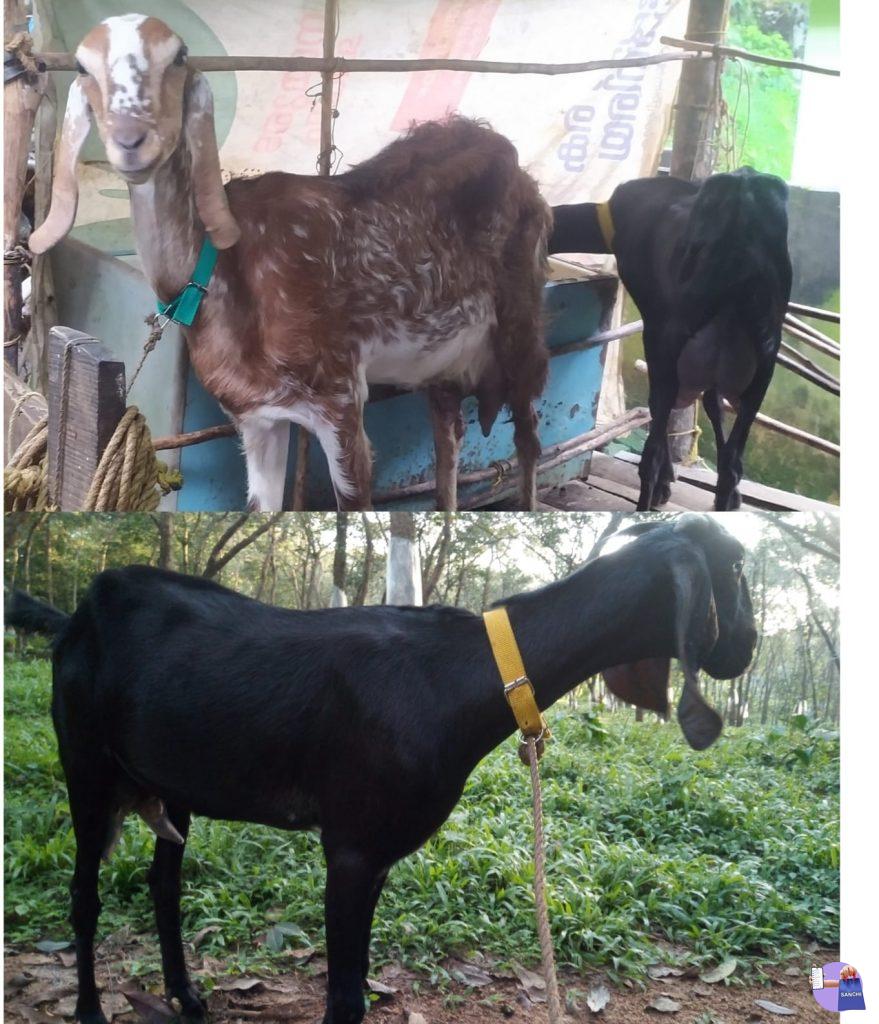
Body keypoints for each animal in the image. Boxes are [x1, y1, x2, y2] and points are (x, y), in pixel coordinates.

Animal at [8, 513, 756, 1024]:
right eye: (738, 568)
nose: (747, 647)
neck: (463, 675)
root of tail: (74, 617)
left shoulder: (379, 856)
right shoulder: (351, 846)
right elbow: (344, 999)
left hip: (173, 779)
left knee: (163, 885)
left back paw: (186, 996)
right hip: (84, 760)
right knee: (84, 893)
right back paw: (90, 1009)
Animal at [29, 14, 552, 512]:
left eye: (177, 57)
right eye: (83, 67)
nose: (131, 140)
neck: (218, 276)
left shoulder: (339, 395)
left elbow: (356, 503)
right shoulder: (256, 414)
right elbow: (263, 508)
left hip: (522, 320)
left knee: (528, 436)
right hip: (443, 359)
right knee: (449, 432)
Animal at [549, 169, 792, 511]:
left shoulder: (655, 322)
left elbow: (658, 406)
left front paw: (665, 481)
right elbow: (713, 406)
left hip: (673, 337)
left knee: (651, 448)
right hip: (764, 359)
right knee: (732, 460)